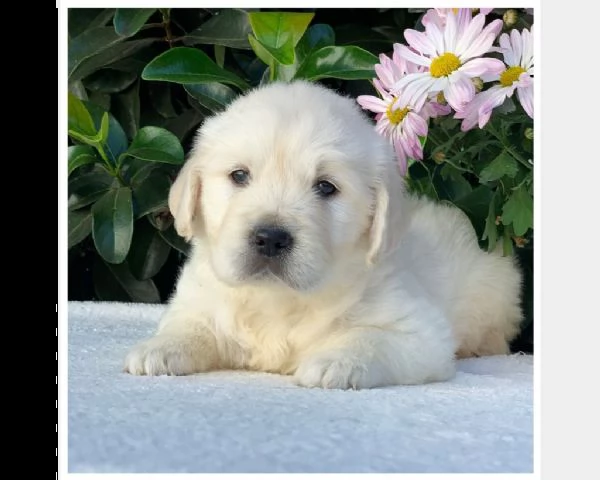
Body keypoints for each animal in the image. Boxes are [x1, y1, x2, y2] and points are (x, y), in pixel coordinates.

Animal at [124, 80, 524, 388]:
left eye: (326, 187)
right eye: (239, 176)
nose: (270, 238)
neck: (279, 300)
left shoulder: (421, 334)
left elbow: (370, 338)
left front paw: (336, 361)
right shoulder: (200, 299)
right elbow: (191, 325)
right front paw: (159, 348)